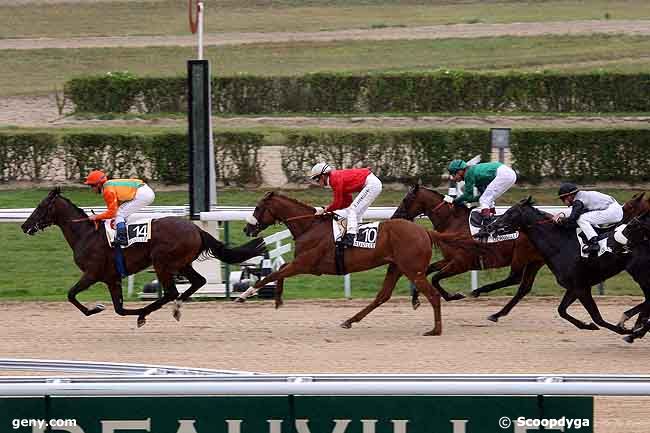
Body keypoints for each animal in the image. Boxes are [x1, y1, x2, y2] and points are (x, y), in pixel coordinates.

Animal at [20, 187, 264, 326]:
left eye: (40, 206)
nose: (24, 226)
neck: (86, 234)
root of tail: (196, 228)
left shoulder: (92, 273)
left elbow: (71, 295)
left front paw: (96, 309)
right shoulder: (111, 278)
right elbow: (118, 309)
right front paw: (105, 308)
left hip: (162, 261)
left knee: (171, 291)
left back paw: (151, 312)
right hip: (181, 263)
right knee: (198, 281)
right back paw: (176, 307)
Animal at [238, 191, 480, 336]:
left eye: (258, 208)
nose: (247, 229)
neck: (309, 226)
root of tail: (425, 231)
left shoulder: (304, 264)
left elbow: (272, 274)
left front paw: (245, 294)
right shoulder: (302, 264)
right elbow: (278, 270)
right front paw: (278, 299)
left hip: (413, 270)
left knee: (433, 295)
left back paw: (435, 329)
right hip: (397, 267)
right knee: (383, 296)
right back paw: (350, 320)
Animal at [392, 183, 544, 320]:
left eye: (406, 200)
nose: (395, 217)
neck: (452, 222)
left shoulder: (462, 263)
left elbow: (435, 278)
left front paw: (453, 296)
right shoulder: (449, 259)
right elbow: (427, 271)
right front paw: (415, 299)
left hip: (520, 256)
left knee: (515, 279)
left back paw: (479, 292)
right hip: (535, 261)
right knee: (524, 287)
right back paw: (496, 314)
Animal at [484, 197, 636, 336]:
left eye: (510, 213)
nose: (489, 227)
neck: (561, 244)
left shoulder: (581, 287)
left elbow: (597, 317)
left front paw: (625, 330)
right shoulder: (574, 288)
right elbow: (562, 310)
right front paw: (587, 325)